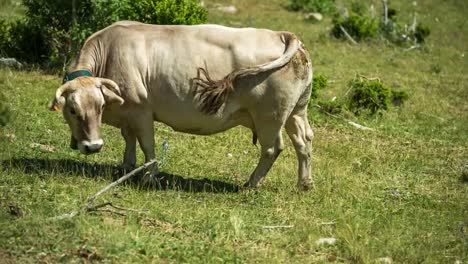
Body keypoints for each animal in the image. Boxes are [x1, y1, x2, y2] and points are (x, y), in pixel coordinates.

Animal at [50, 21, 314, 190]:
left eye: (100, 106)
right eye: (73, 110)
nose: (93, 146)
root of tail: (283, 35)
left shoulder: (141, 109)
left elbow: (147, 144)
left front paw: (149, 177)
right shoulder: (127, 113)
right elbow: (129, 138)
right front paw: (126, 167)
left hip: (270, 116)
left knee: (272, 148)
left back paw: (251, 184)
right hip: (296, 111)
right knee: (304, 141)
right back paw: (305, 184)